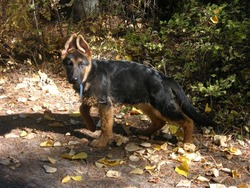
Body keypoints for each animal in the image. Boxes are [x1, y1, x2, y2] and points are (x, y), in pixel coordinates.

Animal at [61, 33, 217, 148]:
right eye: (69, 64)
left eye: (81, 65)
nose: (74, 79)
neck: (90, 74)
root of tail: (164, 78)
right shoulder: (93, 99)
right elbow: (82, 108)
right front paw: (91, 126)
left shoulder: (105, 104)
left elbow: (105, 126)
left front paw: (101, 142)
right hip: (145, 104)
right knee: (160, 121)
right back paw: (144, 131)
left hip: (163, 106)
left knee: (187, 120)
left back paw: (187, 143)